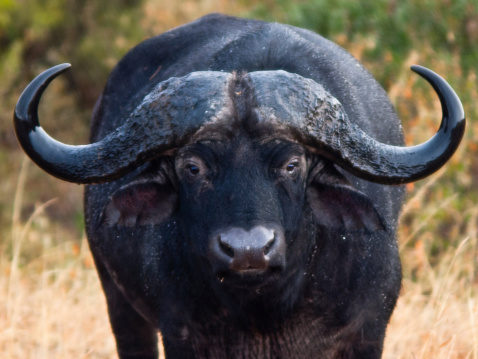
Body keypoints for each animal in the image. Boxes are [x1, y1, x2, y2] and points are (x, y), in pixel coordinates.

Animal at [14, 13, 464, 359]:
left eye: (292, 164)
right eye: (192, 167)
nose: (248, 250)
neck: (267, 309)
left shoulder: (368, 333)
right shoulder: (181, 335)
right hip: (119, 304)